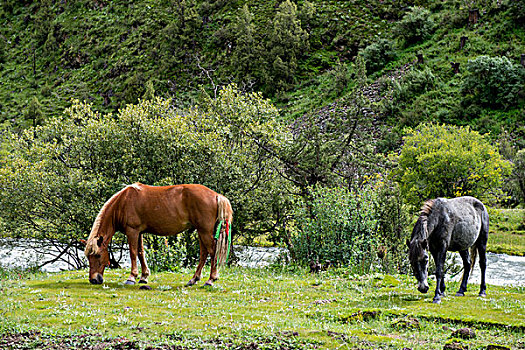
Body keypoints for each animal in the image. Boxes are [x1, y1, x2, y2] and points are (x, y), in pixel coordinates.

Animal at [83, 183, 232, 288]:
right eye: (88, 257)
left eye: (97, 255)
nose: (93, 280)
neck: (123, 202)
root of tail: (216, 195)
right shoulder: (139, 233)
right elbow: (140, 253)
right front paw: (143, 277)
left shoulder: (132, 231)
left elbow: (133, 253)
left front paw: (131, 277)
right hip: (201, 231)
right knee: (204, 253)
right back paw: (194, 279)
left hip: (204, 231)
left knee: (212, 252)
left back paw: (210, 279)